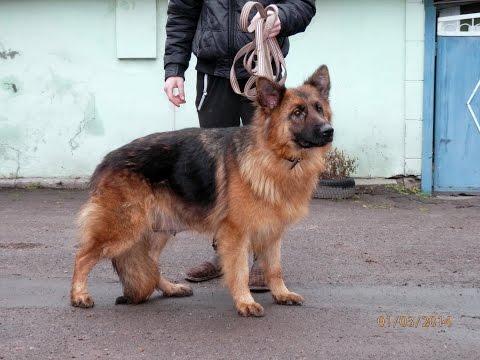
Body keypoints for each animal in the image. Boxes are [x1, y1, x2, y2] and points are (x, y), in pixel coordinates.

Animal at [70, 65, 334, 318]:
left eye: (319, 109)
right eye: (297, 113)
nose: (328, 130)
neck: (275, 155)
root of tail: (106, 160)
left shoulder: (272, 231)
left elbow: (275, 269)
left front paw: (281, 294)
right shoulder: (236, 233)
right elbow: (240, 271)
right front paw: (245, 302)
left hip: (159, 230)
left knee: (151, 265)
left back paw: (170, 288)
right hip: (124, 228)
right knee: (82, 256)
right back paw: (79, 295)